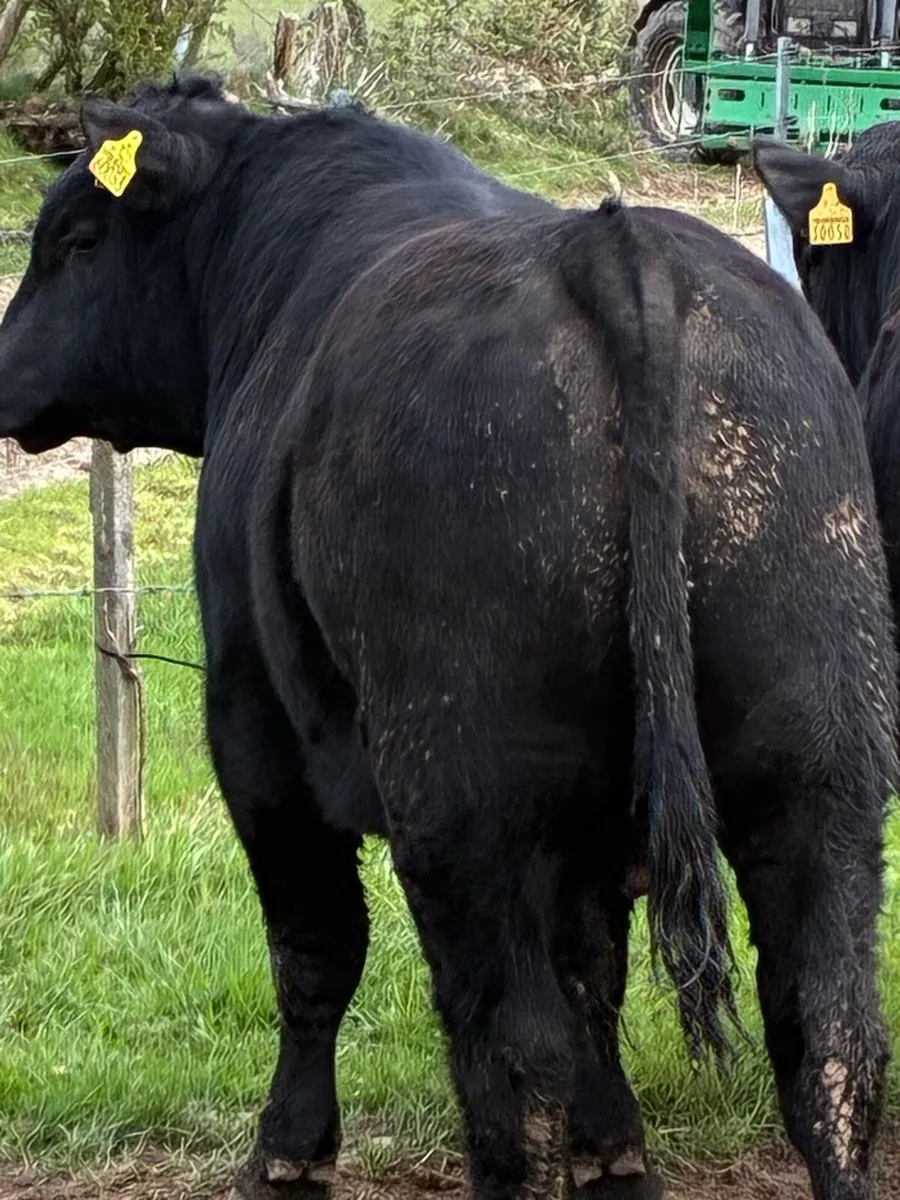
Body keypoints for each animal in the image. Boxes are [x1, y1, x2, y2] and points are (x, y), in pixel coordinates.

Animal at [0, 73, 896, 1200]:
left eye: (75, 239)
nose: (0, 375)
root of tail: (608, 245)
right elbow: (595, 970)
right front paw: (618, 1150)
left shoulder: (252, 728)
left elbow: (315, 950)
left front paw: (288, 1152)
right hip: (821, 750)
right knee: (827, 1029)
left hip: (464, 785)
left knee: (512, 1048)